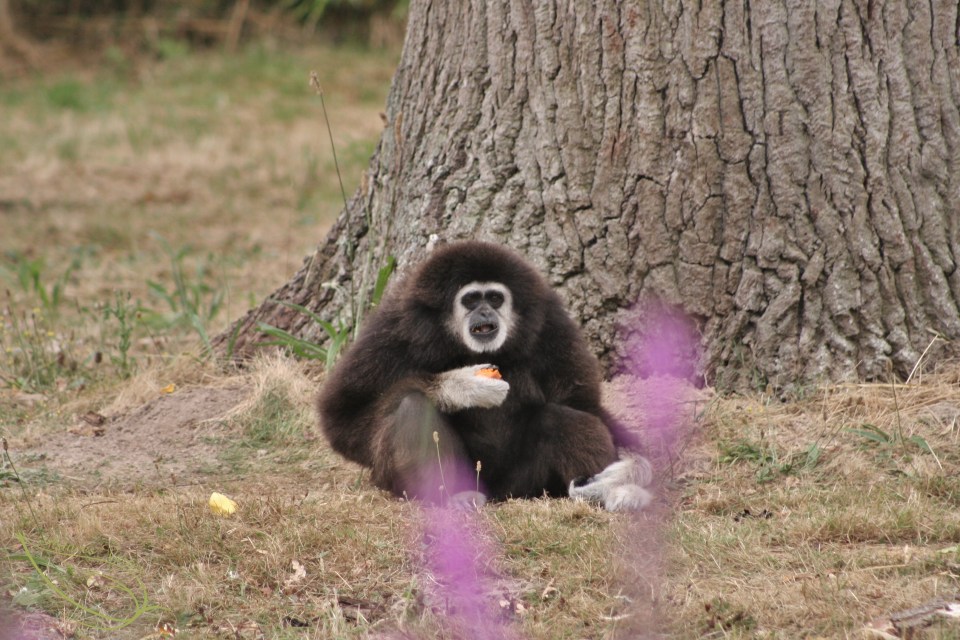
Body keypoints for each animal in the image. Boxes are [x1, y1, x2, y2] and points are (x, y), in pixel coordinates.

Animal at [317, 240, 652, 511]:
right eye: (470, 300)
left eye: (494, 299)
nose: (484, 314)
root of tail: (496, 493)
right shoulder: (394, 326)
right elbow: (343, 420)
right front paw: (461, 386)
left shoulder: (553, 326)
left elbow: (585, 405)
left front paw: (626, 472)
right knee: (412, 406)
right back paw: (454, 497)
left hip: (523, 484)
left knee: (563, 417)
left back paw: (609, 493)